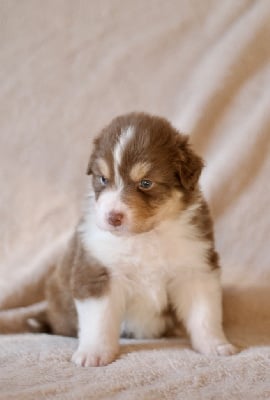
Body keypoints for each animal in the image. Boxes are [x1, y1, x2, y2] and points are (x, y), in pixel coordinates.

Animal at [1, 112, 238, 366]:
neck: (145, 236)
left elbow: (205, 315)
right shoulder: (97, 271)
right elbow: (98, 321)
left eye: (146, 183)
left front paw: (215, 345)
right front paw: (93, 353)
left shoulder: (196, 268)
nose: (112, 217)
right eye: (103, 179)